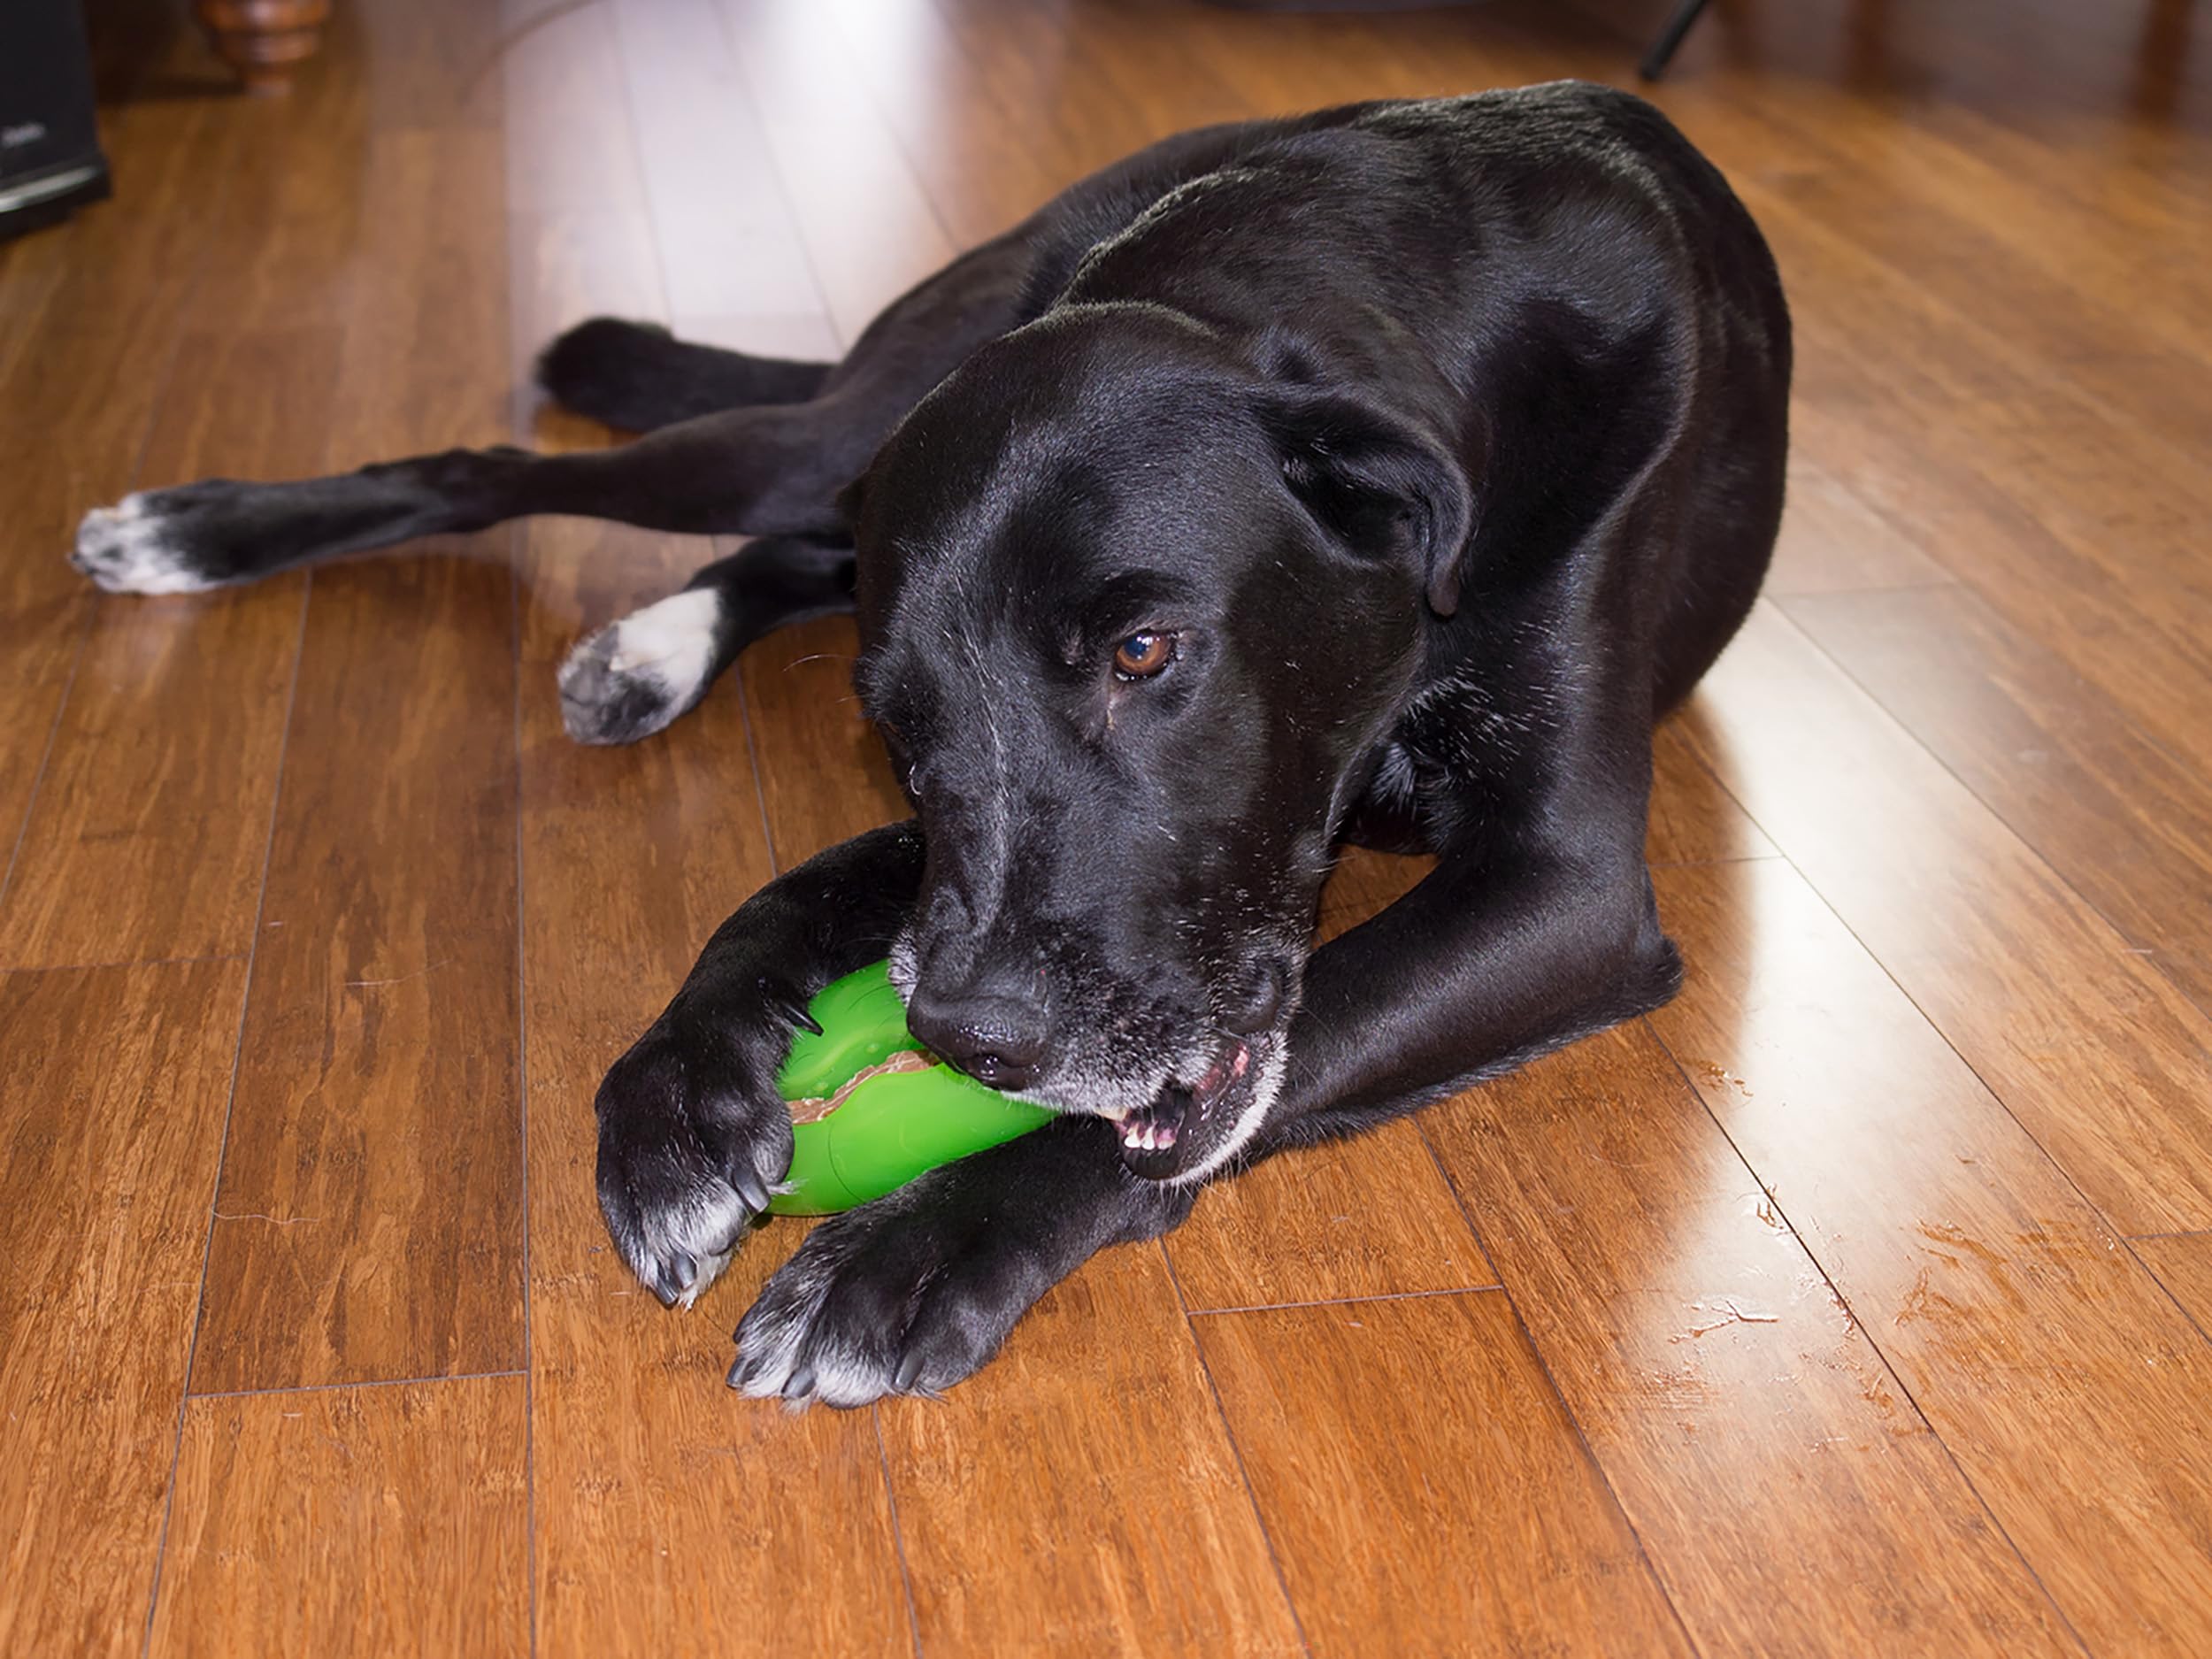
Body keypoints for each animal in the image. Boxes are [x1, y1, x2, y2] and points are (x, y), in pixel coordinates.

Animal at [73, 78, 1796, 1407]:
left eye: (1144, 651)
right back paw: (206, 533)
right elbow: (786, 890)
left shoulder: (1566, 889)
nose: (970, 1041)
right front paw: (676, 1096)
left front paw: (919, 1248)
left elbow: (1256, 1061)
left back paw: (640, 652)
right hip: (838, 431)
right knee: (509, 470)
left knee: (777, 547)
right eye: (893, 719)